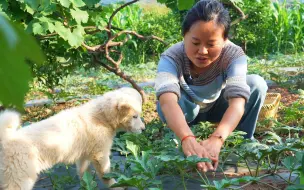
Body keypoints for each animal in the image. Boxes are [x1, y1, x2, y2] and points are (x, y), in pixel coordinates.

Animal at [0, 87, 144, 190]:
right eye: (135, 117)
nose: (143, 129)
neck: (101, 117)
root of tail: (6, 140)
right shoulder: (100, 154)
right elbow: (107, 175)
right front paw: (117, 186)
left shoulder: (84, 156)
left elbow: (83, 174)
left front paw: (87, 185)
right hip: (20, 178)